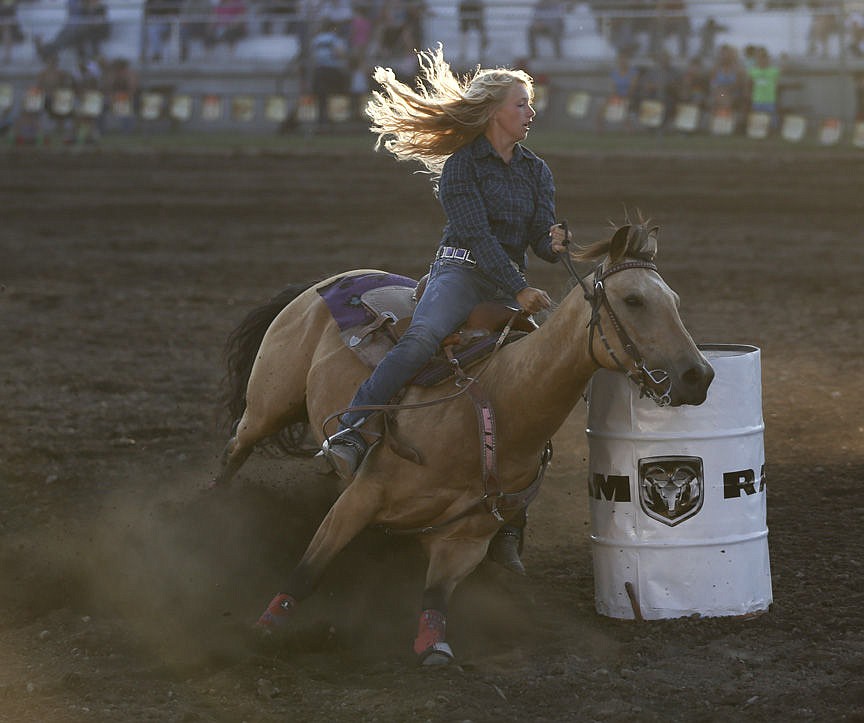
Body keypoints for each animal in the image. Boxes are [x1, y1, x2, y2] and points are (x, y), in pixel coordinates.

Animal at [213, 221, 712, 668]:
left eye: (675, 301)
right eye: (633, 300)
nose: (699, 375)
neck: (499, 402)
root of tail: (321, 283)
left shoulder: (465, 540)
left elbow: (434, 596)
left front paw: (433, 646)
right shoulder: (362, 497)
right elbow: (308, 571)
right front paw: (265, 629)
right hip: (268, 405)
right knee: (236, 448)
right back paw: (215, 510)